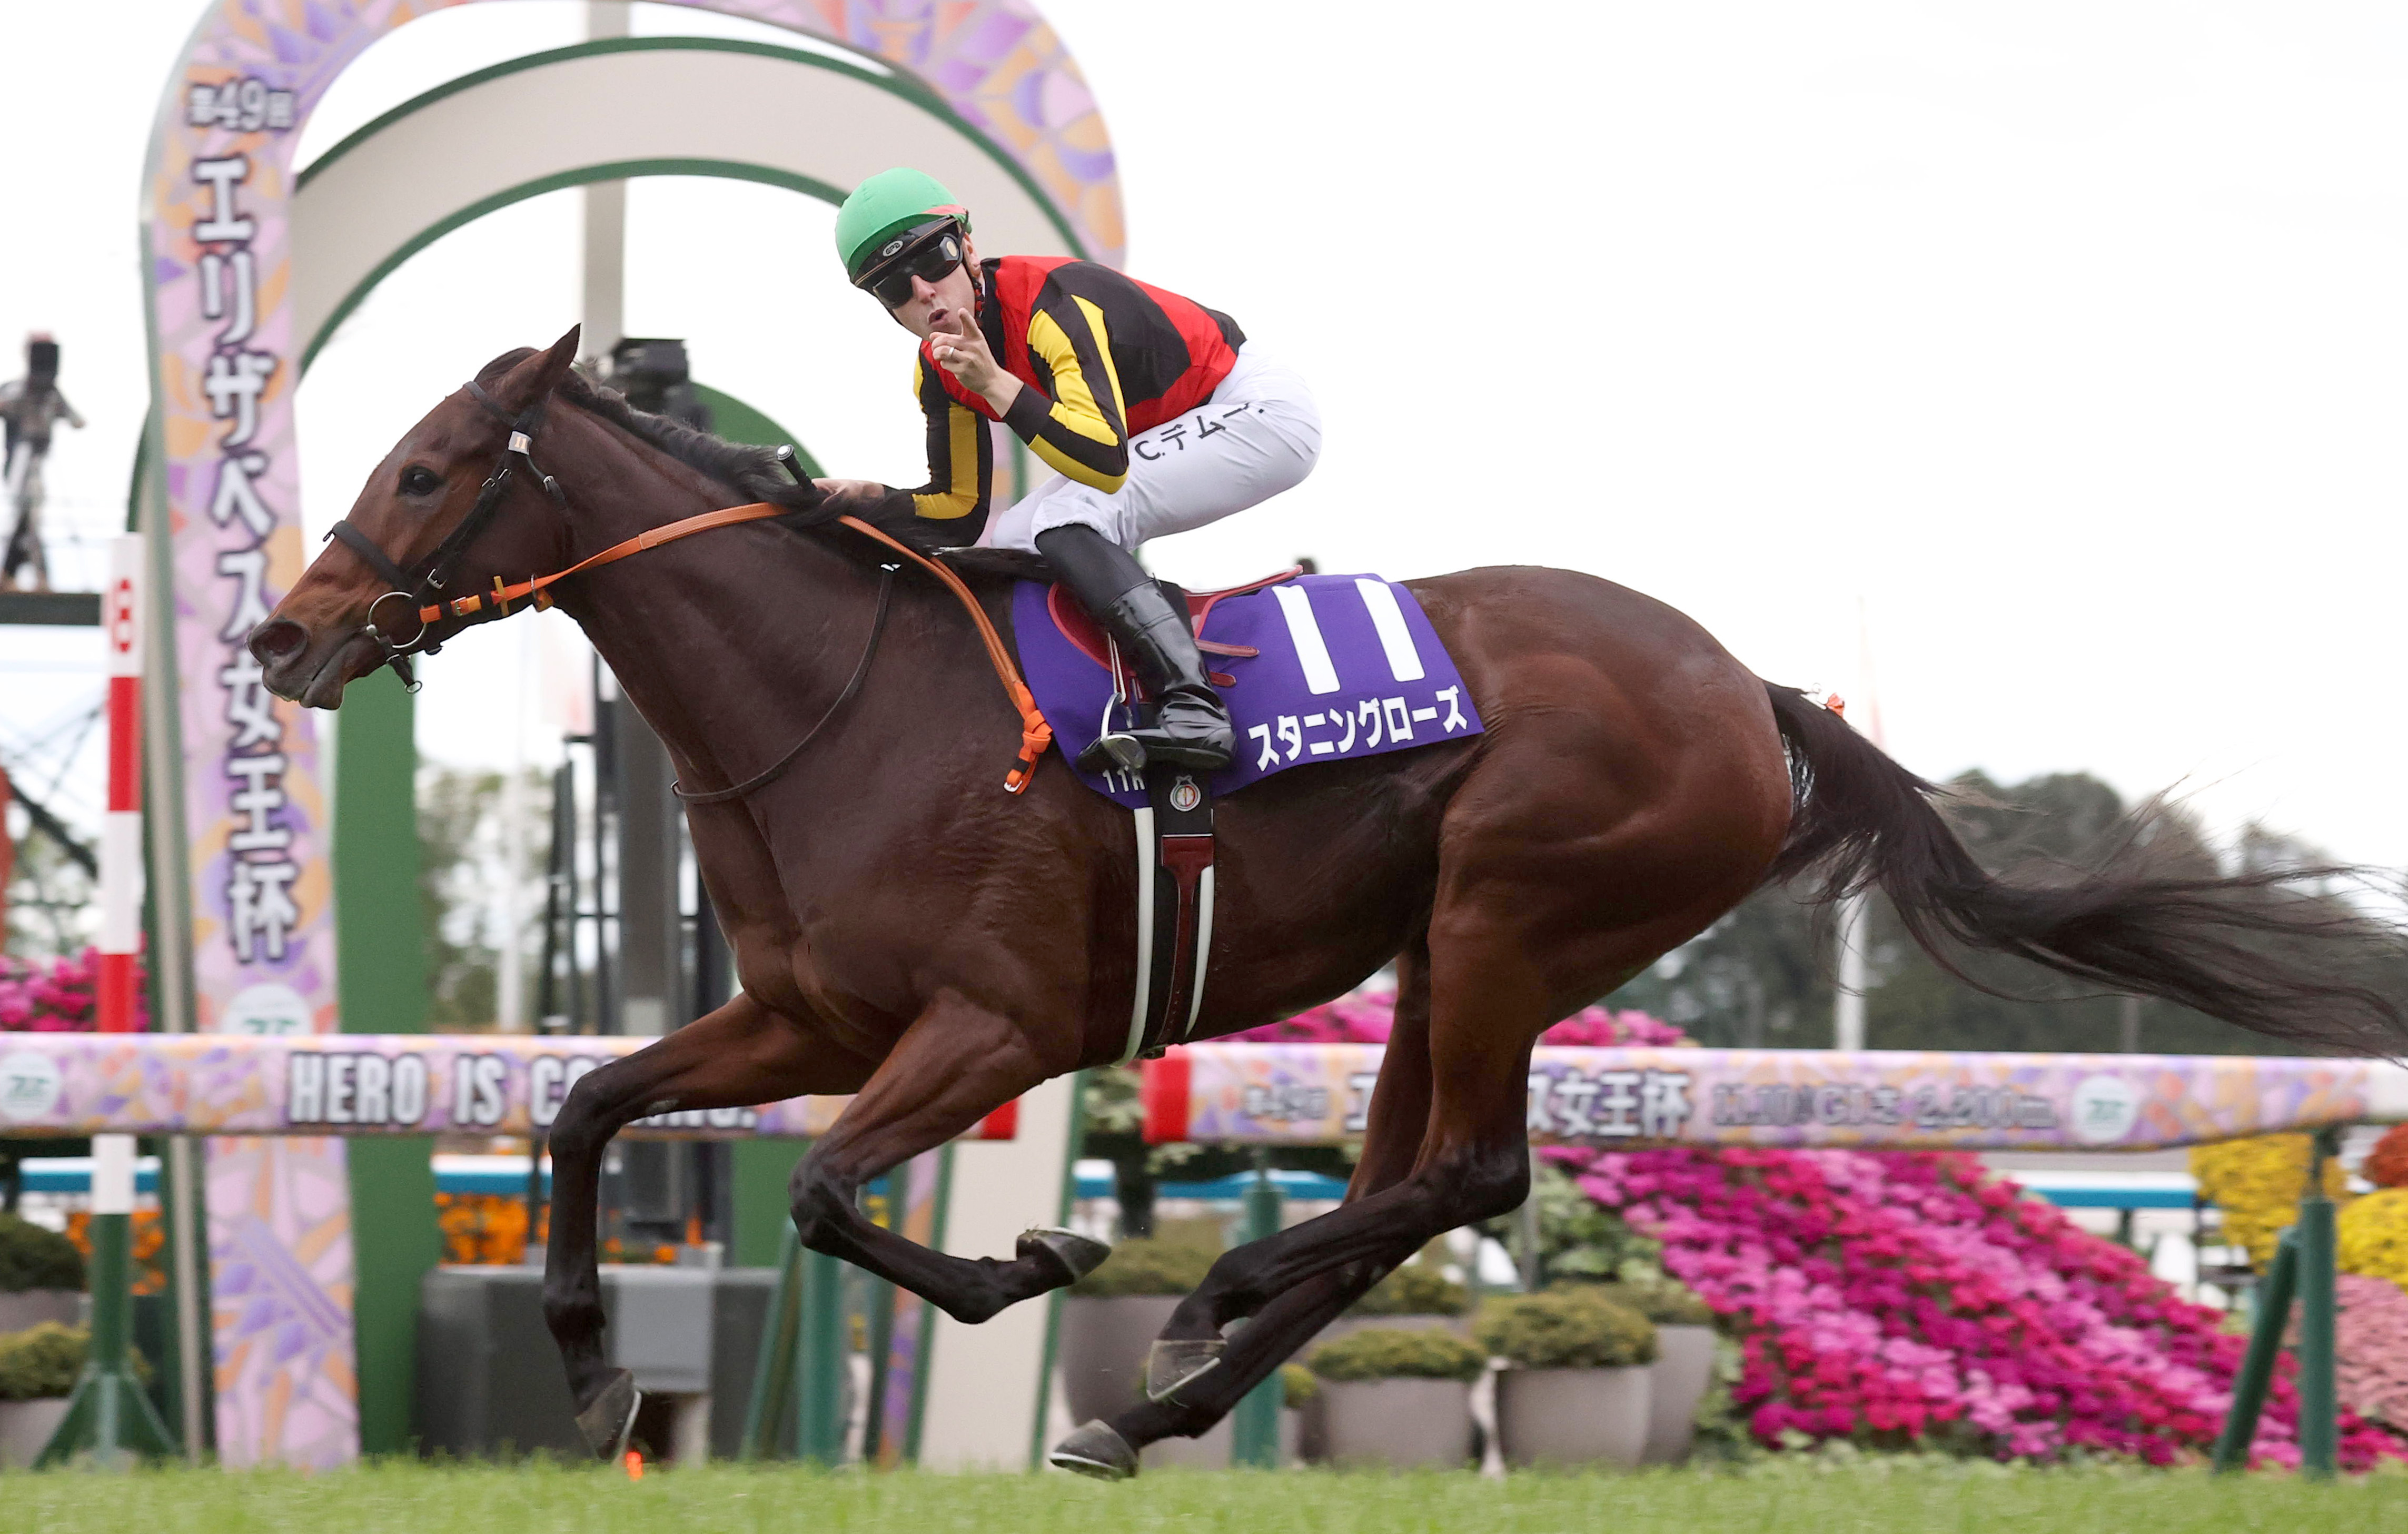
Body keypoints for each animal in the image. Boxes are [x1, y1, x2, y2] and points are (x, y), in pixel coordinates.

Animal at [251, 327, 2406, 1477]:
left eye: (430, 469)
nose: (279, 632)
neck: (834, 702)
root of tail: (1747, 688)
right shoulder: (806, 1014)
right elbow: (585, 1104)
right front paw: (595, 1362)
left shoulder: (993, 1025)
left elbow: (828, 1194)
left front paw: (1038, 1261)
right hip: (1439, 952)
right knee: (1415, 1190)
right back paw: (1173, 1392)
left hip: (1511, 908)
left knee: (1466, 1175)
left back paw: (1202, 1299)